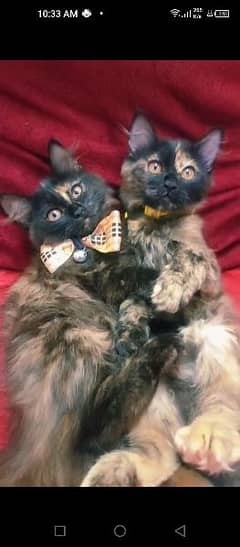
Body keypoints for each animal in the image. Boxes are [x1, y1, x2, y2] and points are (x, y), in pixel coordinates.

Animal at [0, 139, 176, 486]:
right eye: (54, 214)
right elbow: (142, 276)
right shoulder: (109, 280)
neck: (91, 242)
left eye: (76, 190)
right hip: (80, 342)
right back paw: (163, 347)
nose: (78, 210)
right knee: (94, 430)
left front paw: (134, 331)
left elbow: (135, 307)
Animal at [82, 112, 240, 488]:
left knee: (224, 414)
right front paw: (129, 333)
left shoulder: (208, 273)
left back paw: (207, 442)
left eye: (188, 172)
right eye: (155, 166)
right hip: (153, 402)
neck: (157, 227)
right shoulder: (127, 279)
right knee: (162, 456)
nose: (169, 183)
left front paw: (169, 290)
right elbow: (133, 303)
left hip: (217, 343)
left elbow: (188, 258)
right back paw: (111, 473)